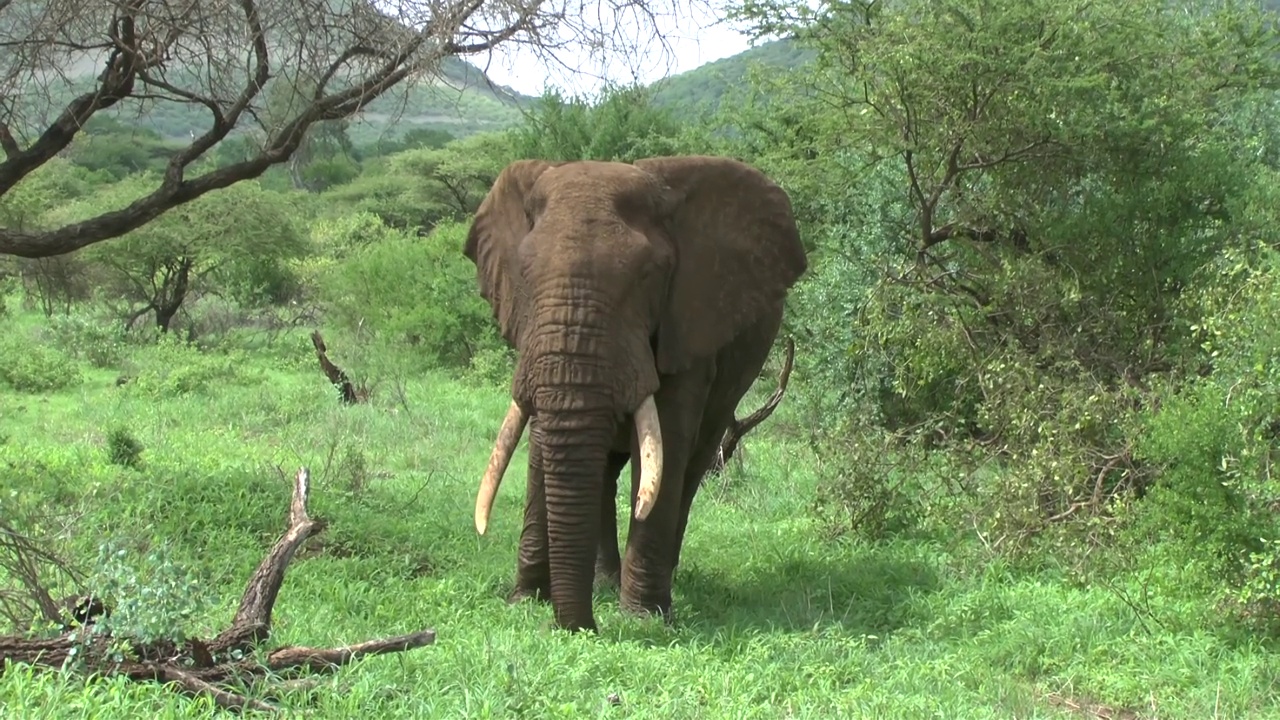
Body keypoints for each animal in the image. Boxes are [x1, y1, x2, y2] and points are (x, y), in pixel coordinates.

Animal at [465, 152, 803, 627]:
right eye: (523, 275)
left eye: (649, 276)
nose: (583, 629)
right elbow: (539, 441)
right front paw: (525, 600)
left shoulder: (688, 321)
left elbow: (670, 442)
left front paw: (642, 618)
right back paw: (605, 582)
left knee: (694, 463)